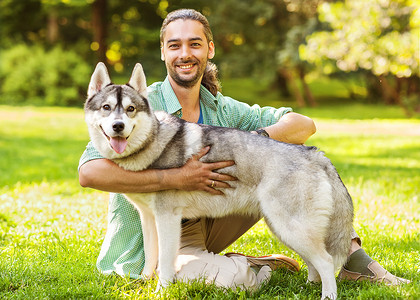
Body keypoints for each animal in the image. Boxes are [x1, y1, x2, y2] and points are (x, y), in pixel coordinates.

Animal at [84, 62, 354, 298]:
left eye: (130, 109)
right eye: (106, 107)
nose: (118, 126)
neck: (153, 141)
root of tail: (315, 153)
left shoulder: (167, 219)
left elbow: (166, 264)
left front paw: (162, 292)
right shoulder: (149, 219)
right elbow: (150, 260)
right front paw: (146, 286)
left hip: (291, 228)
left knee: (326, 262)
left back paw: (327, 295)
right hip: (284, 229)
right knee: (314, 264)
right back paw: (307, 287)